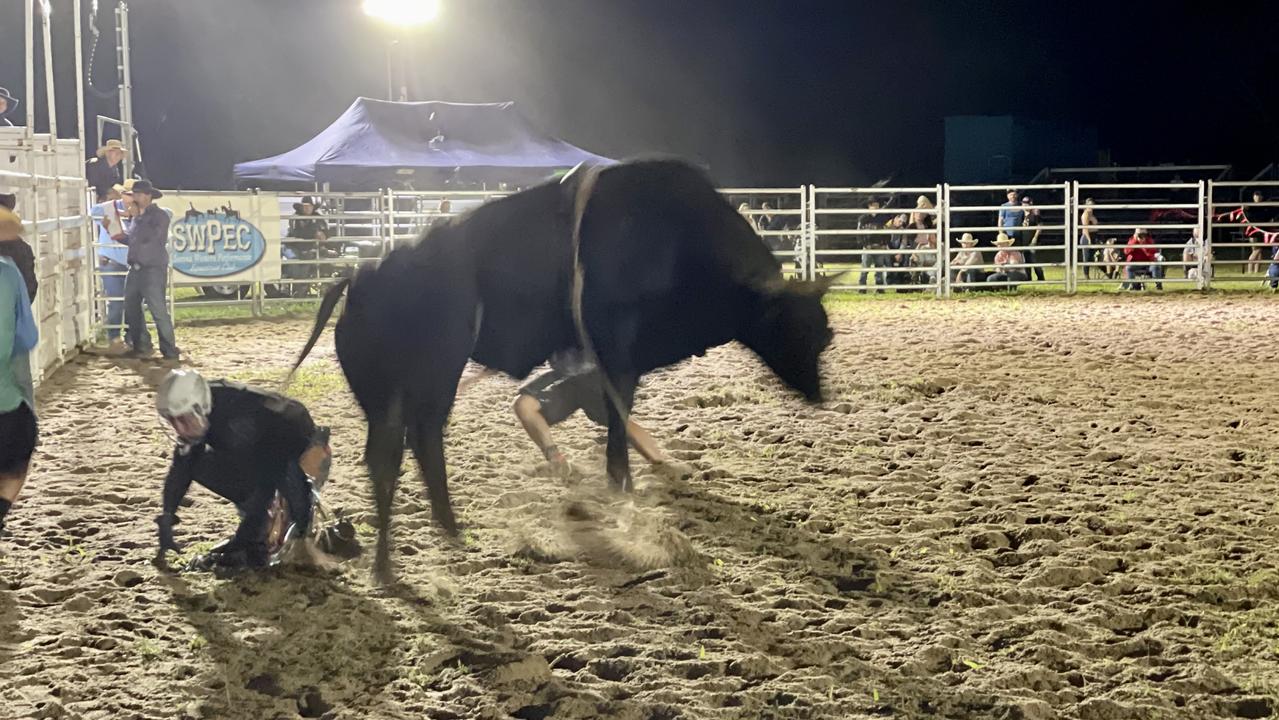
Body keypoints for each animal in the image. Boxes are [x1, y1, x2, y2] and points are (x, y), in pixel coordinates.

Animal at [290, 160, 839, 583]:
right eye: (795, 329)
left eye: (825, 335)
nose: (818, 397)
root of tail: (361, 275)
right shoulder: (617, 353)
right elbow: (618, 432)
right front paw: (622, 492)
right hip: (432, 375)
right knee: (413, 446)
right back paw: (415, 547)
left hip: (386, 392)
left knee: (394, 454)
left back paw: (417, 545)